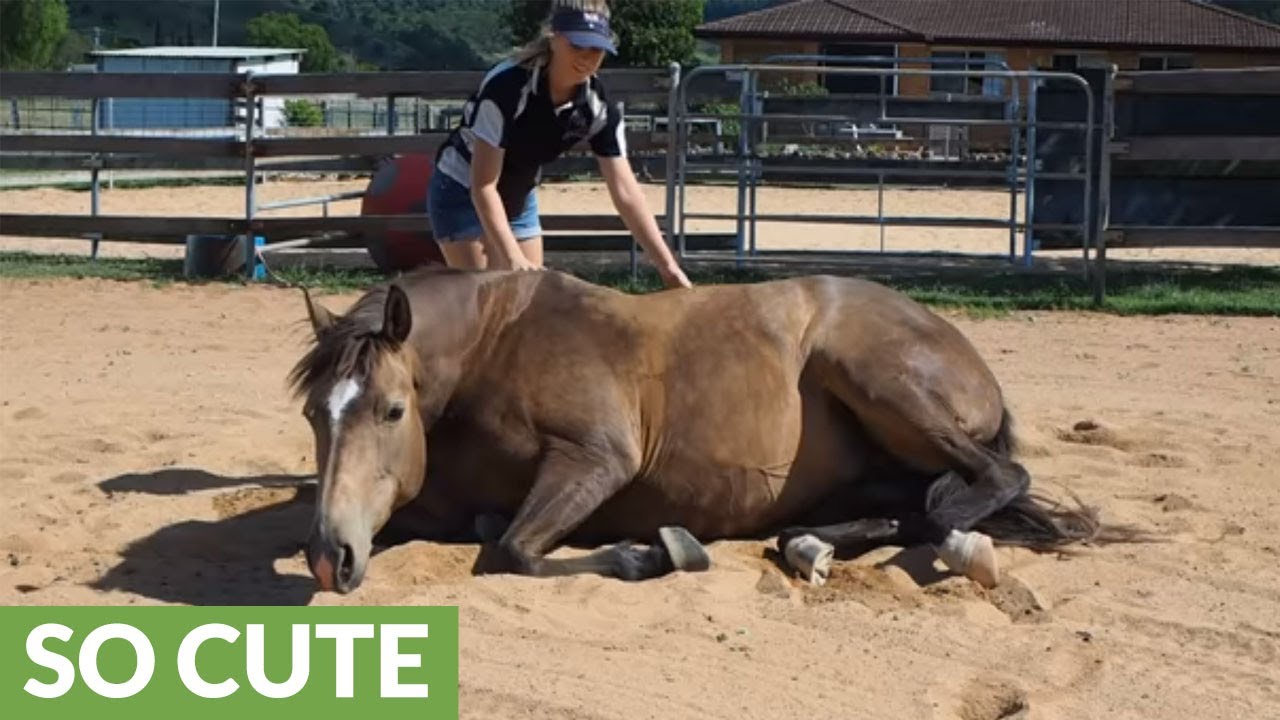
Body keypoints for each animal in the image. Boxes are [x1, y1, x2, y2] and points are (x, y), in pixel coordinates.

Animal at [289, 266, 1100, 594]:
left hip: (879, 380)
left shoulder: (596, 458)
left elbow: (511, 552)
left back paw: (961, 542)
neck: (493, 346)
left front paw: (657, 553)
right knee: (900, 509)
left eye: (392, 411)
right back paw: (808, 547)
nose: (331, 560)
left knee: (983, 485)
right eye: (313, 415)